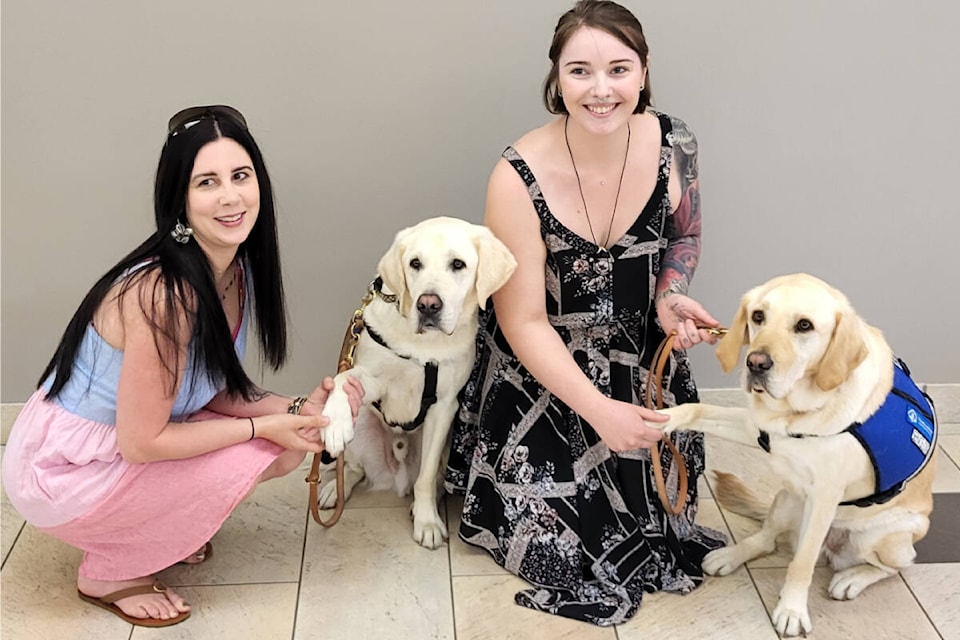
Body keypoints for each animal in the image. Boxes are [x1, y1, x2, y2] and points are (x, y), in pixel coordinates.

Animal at [318, 218, 516, 548]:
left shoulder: (444, 406)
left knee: (430, 478)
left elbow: (425, 478)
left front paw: (427, 522)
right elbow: (343, 378)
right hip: (363, 425)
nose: (428, 304)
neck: (424, 347)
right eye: (415, 263)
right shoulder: (372, 379)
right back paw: (336, 489)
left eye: (458, 264)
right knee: (354, 468)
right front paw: (334, 422)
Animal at [660, 272, 936, 636]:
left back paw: (851, 579)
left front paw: (791, 610)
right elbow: (695, 409)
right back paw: (729, 556)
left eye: (804, 325)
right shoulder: (756, 428)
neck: (796, 412)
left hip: (886, 538)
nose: (755, 362)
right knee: (767, 539)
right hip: (787, 498)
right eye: (758, 316)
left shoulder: (824, 497)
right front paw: (657, 419)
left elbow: (801, 563)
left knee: (894, 567)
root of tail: (834, 549)